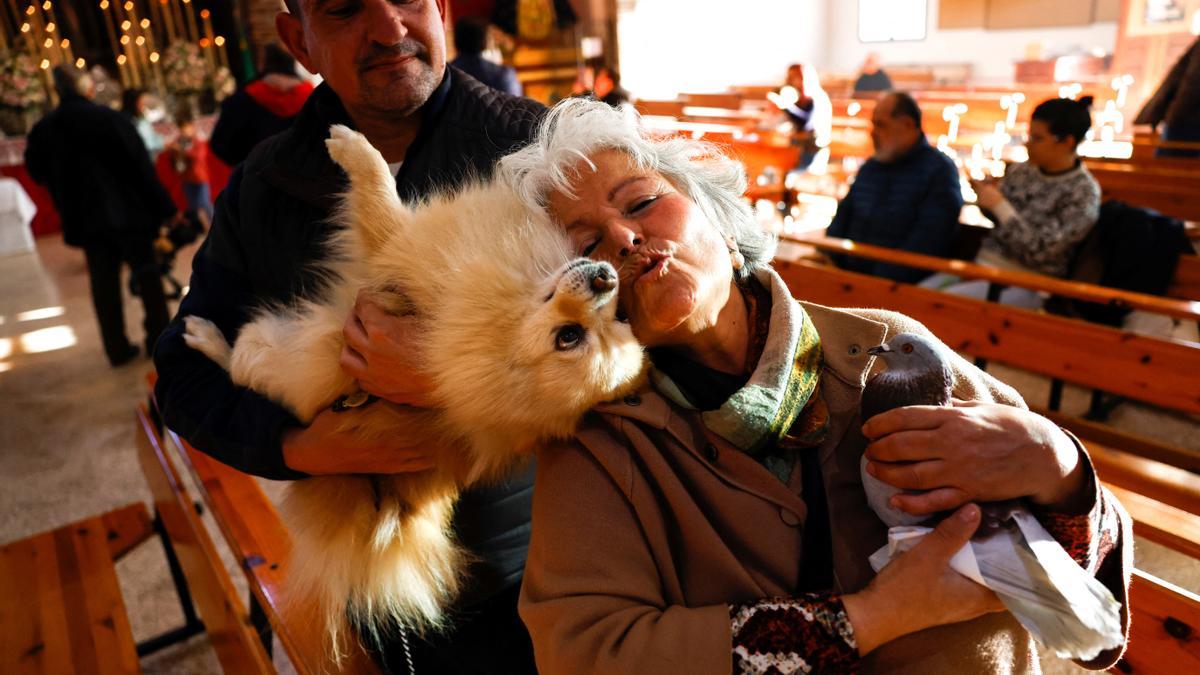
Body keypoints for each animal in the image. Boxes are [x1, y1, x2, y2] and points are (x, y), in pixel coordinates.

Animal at [182, 124, 648, 658]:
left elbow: (377, 193)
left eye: (567, 337)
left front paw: (349, 146)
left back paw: (204, 336)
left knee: (241, 361)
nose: (605, 276)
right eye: (612, 320)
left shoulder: (399, 242)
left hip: (279, 347)